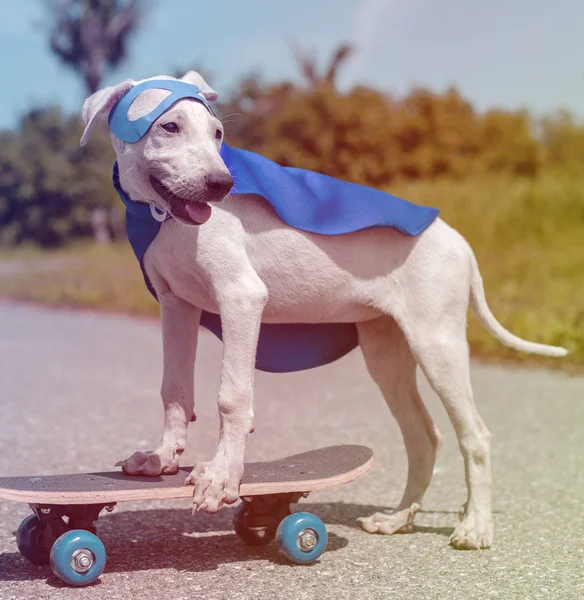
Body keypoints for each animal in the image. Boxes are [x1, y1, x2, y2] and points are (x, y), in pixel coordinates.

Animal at [80, 70, 568, 548]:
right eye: (169, 127)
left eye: (218, 134)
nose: (222, 185)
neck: (165, 219)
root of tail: (460, 242)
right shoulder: (176, 306)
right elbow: (174, 390)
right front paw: (162, 458)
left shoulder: (241, 298)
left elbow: (232, 396)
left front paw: (221, 478)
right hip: (387, 353)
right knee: (424, 437)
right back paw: (398, 519)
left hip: (437, 344)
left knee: (475, 435)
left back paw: (475, 527)